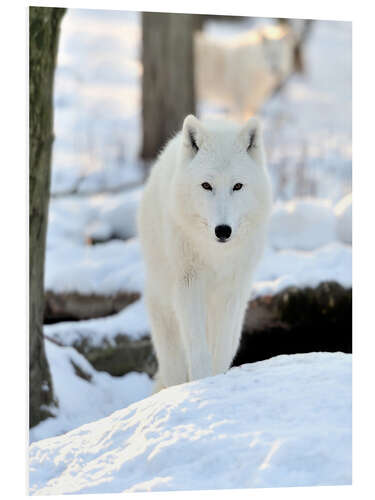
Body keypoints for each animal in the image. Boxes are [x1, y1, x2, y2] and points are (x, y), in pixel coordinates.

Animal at [138, 114, 274, 390]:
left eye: (237, 186)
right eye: (206, 185)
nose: (223, 230)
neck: (215, 256)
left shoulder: (231, 291)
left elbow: (219, 350)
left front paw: (217, 382)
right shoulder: (188, 286)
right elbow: (199, 350)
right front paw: (201, 384)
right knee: (174, 367)